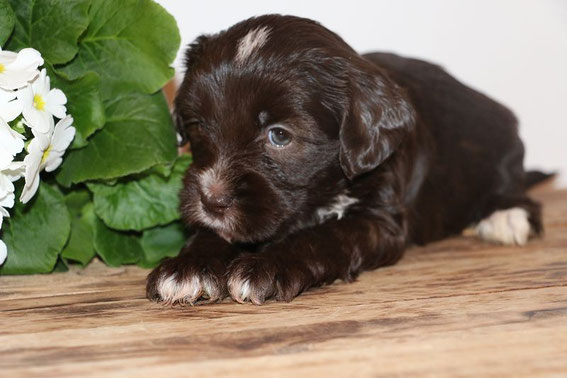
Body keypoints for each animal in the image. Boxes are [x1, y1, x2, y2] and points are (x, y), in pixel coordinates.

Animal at [146, 14, 544, 306]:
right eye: (198, 126)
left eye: (279, 135)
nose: (211, 200)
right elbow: (213, 233)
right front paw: (187, 268)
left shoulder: (378, 220)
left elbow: (325, 235)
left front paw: (264, 266)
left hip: (505, 155)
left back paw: (506, 217)